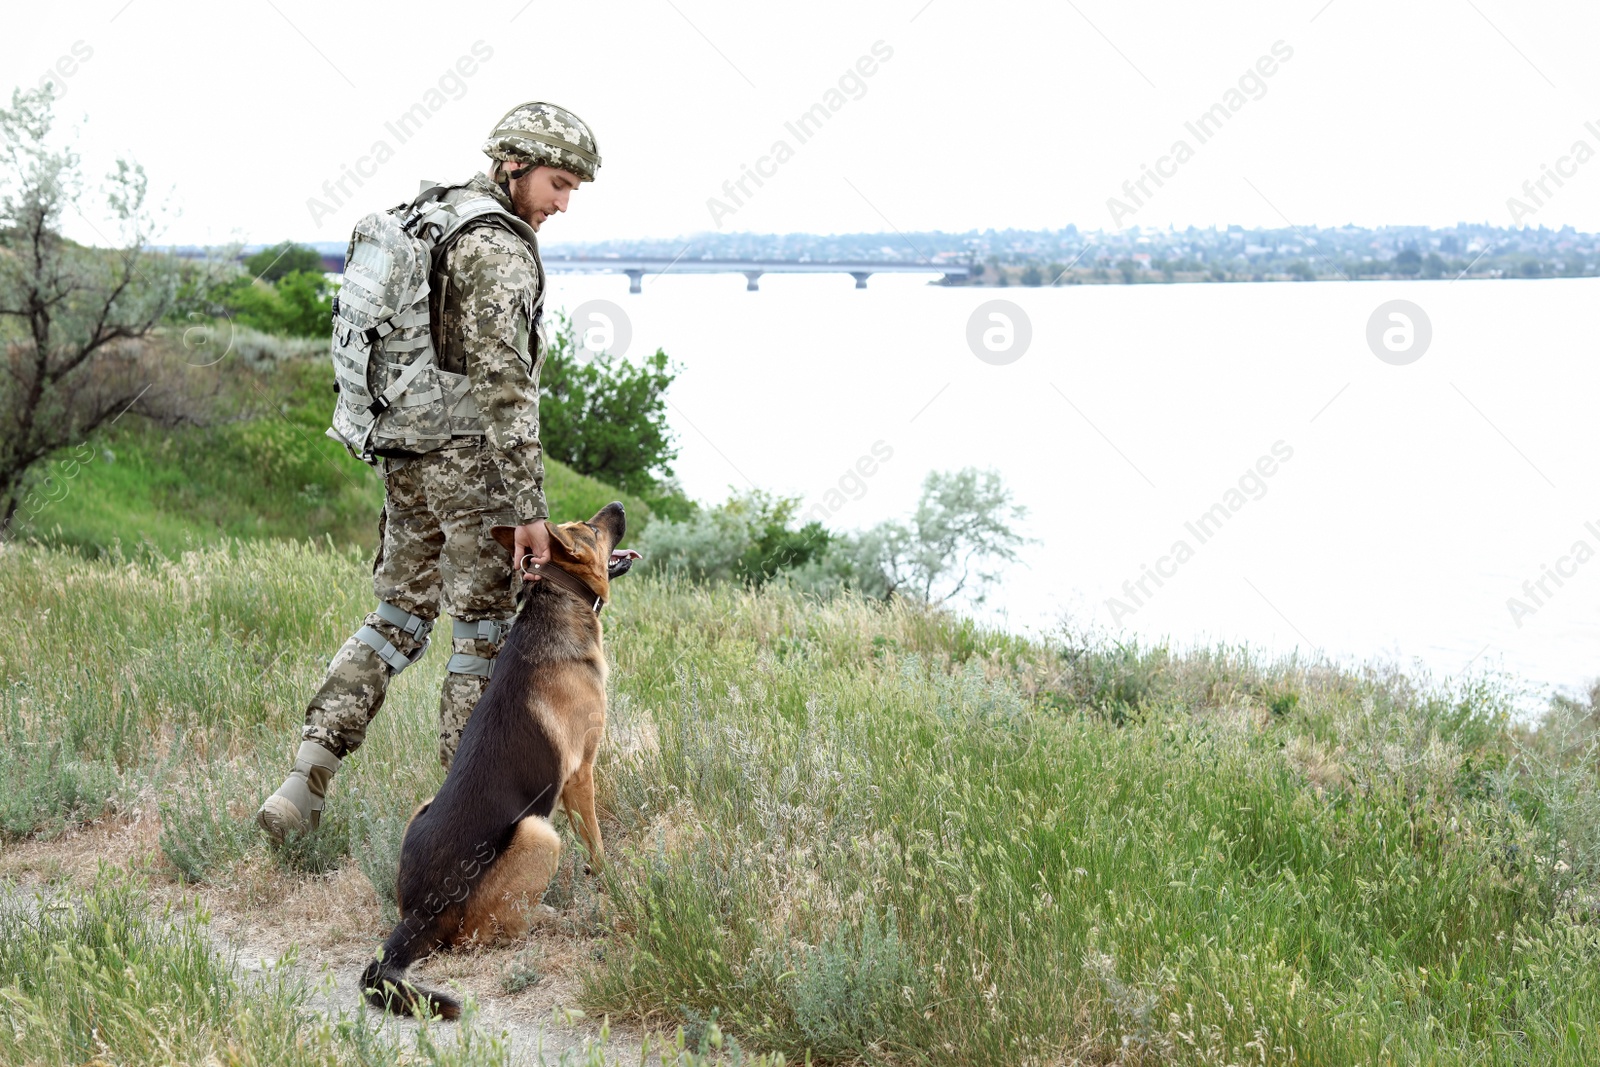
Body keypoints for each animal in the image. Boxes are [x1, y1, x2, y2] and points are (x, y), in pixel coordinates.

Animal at [363, 502, 630, 1017]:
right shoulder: (580, 776)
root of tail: (419, 913)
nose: (619, 506)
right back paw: (551, 918)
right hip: (538, 833)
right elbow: (597, 844)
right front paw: (611, 885)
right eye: (590, 530)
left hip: (424, 808)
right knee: (492, 932)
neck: (558, 597)